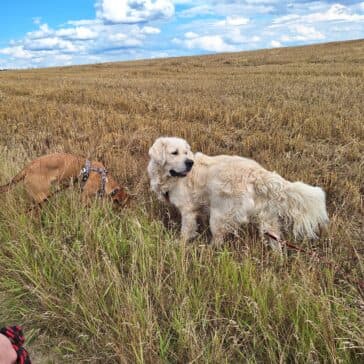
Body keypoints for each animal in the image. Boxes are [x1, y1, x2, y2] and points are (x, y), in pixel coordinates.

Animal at [146, 136, 328, 250]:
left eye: (185, 152)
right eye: (174, 152)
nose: (190, 162)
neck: (170, 178)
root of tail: (257, 172)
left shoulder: (188, 210)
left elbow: (186, 232)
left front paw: (179, 245)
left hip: (219, 215)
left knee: (218, 240)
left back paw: (208, 252)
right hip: (267, 218)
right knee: (276, 240)